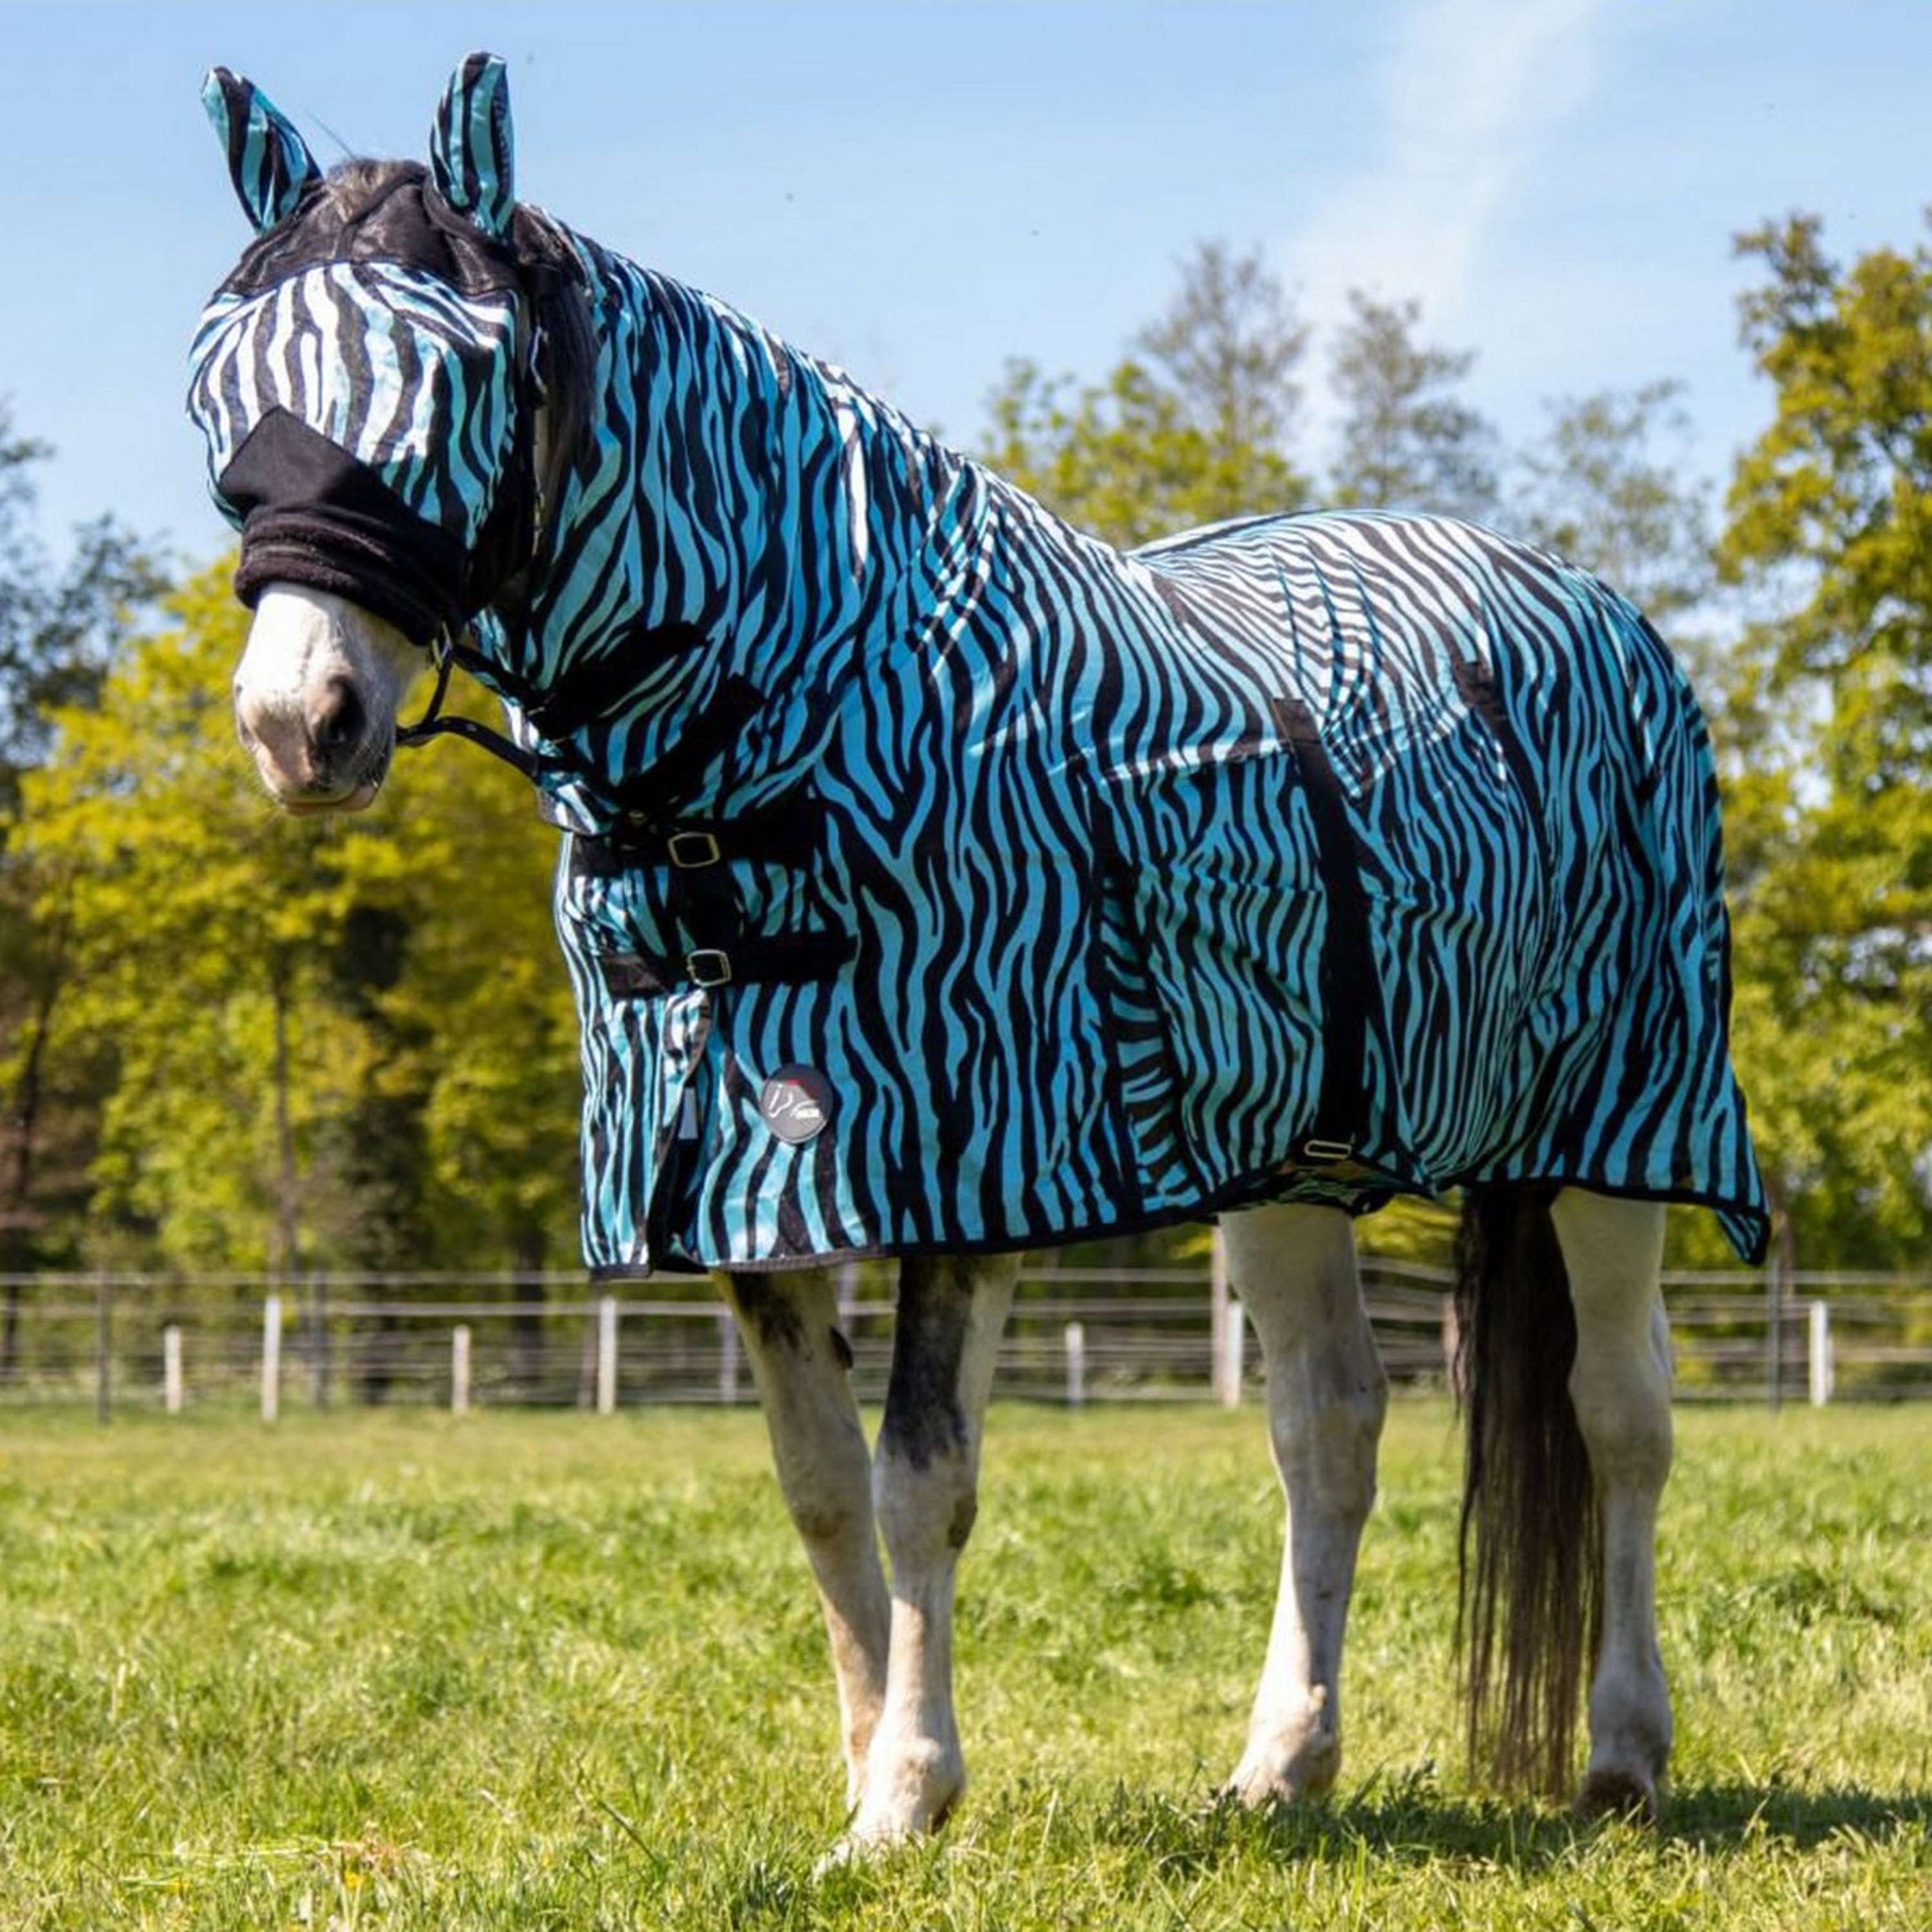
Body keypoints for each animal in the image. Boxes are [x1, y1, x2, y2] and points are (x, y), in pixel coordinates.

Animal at [188, 54, 1767, 1848]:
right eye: (218, 386)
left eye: (466, 369)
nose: (297, 724)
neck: (795, 737)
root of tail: (1589, 605)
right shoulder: (753, 1187)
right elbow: (819, 1493)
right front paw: (867, 1767)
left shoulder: (966, 1169)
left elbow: (920, 1481)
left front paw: (906, 1799)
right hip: (1294, 1167)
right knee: (1331, 1429)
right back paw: (1281, 1768)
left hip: (1620, 1133)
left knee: (1622, 1420)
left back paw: (1623, 1756)